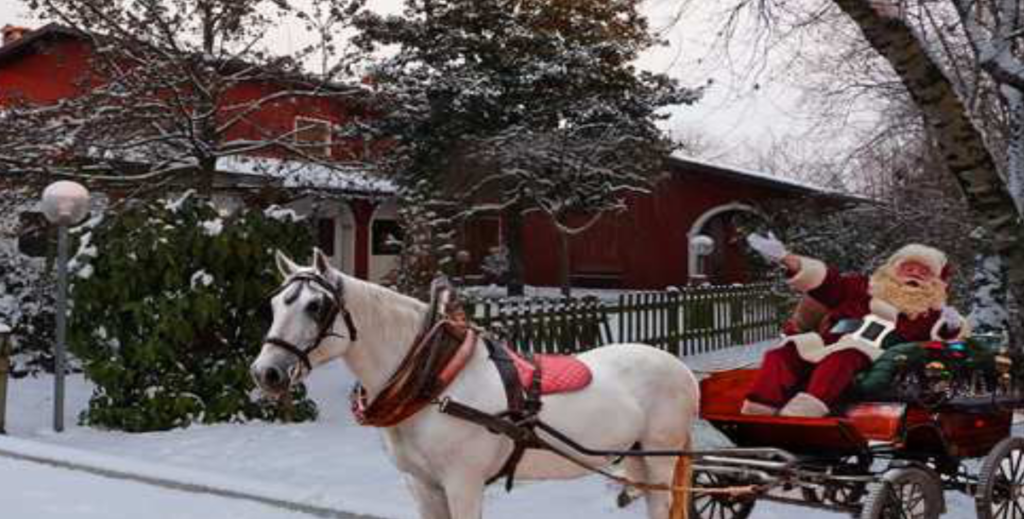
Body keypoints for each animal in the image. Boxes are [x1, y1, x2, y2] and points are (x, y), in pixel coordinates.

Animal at [250, 249, 700, 517]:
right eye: (274, 303)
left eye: (316, 306)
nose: (265, 372)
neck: (434, 381)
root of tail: (682, 370)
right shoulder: (424, 487)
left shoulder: (462, 484)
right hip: (637, 457)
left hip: (660, 458)